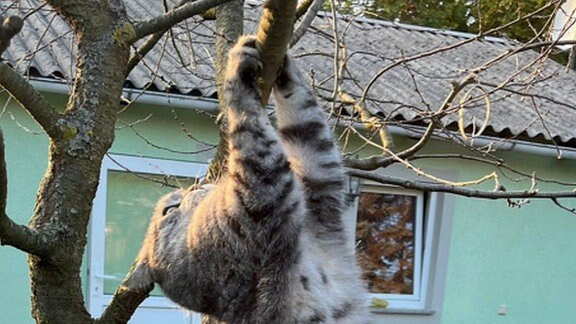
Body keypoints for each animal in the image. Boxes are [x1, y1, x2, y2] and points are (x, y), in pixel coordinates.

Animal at [126, 36, 368, 324]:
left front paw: (285, 69)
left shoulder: (319, 184)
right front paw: (236, 69)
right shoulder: (263, 183)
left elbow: (305, 121)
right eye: (169, 209)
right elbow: (247, 121)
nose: (193, 187)